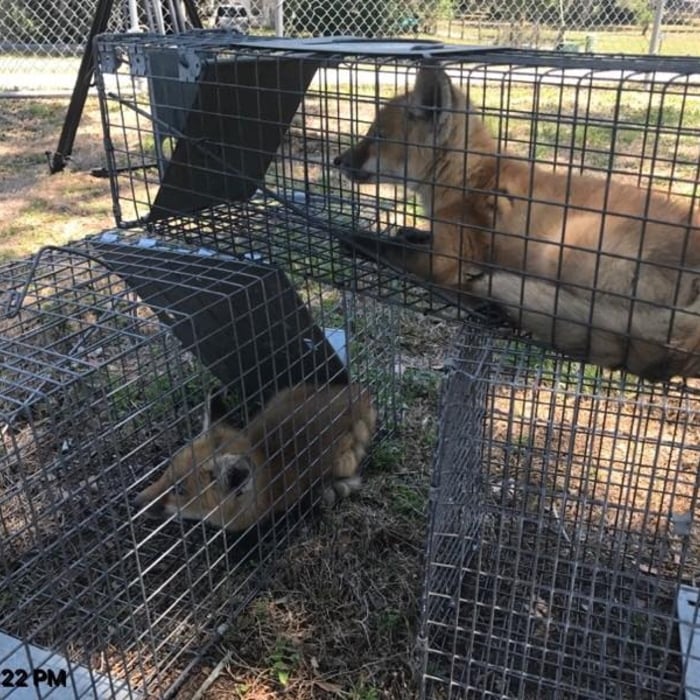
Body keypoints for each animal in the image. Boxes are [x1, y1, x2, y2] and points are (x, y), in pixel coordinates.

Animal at [334, 63, 700, 381]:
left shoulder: (448, 258)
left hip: (566, 248)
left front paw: (350, 237)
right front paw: (406, 231)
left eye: (377, 136)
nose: (336, 161)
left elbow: (386, 248)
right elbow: (409, 236)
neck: (471, 178)